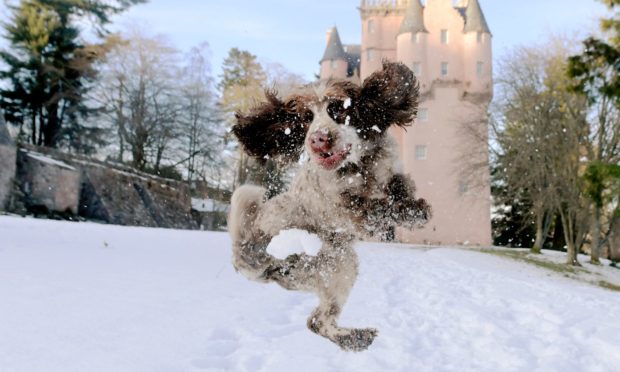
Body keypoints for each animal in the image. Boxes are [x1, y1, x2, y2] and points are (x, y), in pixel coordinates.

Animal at [228, 61, 432, 352]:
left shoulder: (391, 169)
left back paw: (355, 337)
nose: (318, 139)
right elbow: (369, 210)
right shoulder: (341, 207)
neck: (360, 167)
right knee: (317, 321)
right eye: (305, 118)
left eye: (339, 108)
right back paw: (355, 338)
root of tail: (248, 252)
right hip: (336, 263)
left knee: (316, 320)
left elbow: (399, 187)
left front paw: (414, 210)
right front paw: (396, 214)